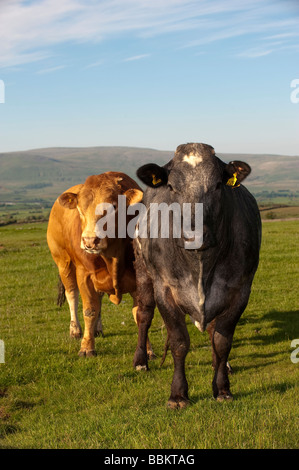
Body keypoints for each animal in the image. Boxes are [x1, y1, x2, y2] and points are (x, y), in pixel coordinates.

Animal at [47, 171, 154, 358]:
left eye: (112, 207)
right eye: (80, 209)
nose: (90, 241)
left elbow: (140, 313)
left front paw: (146, 350)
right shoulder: (84, 275)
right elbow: (89, 310)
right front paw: (86, 347)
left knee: (99, 299)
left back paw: (97, 328)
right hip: (63, 263)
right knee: (72, 295)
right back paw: (75, 330)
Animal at [134, 140, 262, 408]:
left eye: (217, 185)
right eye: (171, 186)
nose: (195, 236)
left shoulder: (240, 290)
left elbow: (222, 341)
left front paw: (222, 388)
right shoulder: (166, 290)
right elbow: (179, 342)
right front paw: (178, 394)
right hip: (143, 272)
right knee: (143, 314)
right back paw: (140, 361)